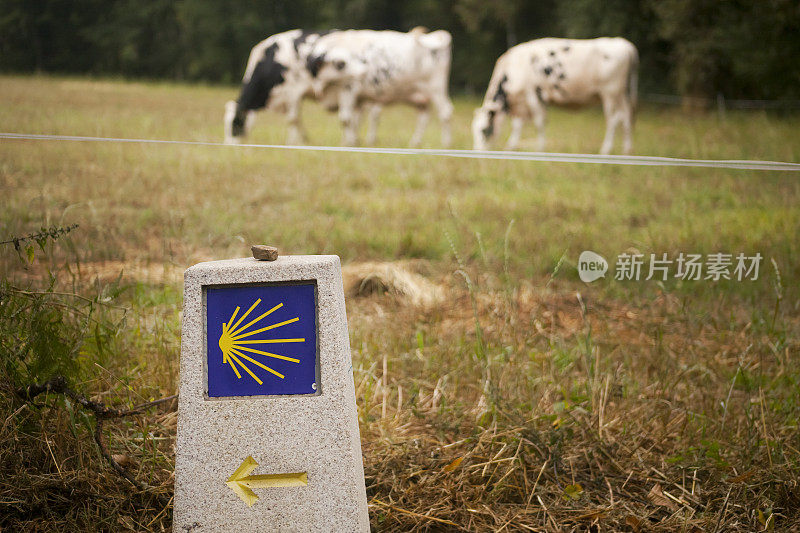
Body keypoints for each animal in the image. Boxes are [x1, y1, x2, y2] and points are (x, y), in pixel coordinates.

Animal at [304, 28, 456, 147]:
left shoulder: (348, 89)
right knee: (424, 117)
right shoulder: (358, 99)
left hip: (436, 89)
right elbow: (355, 120)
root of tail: (436, 36)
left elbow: (346, 119)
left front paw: (349, 143)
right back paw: (415, 143)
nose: (363, 72)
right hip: (421, 95)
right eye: (340, 63)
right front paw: (352, 141)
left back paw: (446, 144)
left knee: (445, 112)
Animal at [476, 37, 636, 154]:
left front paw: (540, 149)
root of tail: (625, 44)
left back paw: (605, 150)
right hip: (623, 94)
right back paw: (626, 150)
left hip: (610, 93)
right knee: (625, 118)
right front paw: (511, 146)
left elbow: (539, 123)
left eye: (483, 130)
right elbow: (518, 125)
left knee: (613, 120)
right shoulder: (522, 103)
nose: (478, 152)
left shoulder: (534, 95)